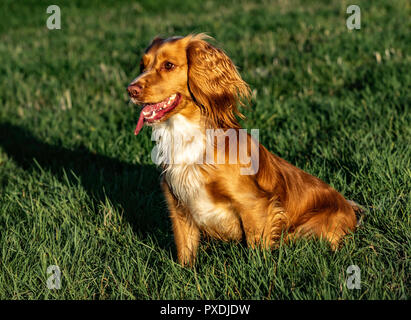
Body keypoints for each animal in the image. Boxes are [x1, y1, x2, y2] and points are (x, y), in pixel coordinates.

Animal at [127, 33, 358, 266]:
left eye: (169, 65)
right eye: (142, 65)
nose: (131, 90)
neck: (187, 135)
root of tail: (351, 208)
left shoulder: (255, 204)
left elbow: (256, 250)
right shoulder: (179, 208)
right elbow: (185, 254)